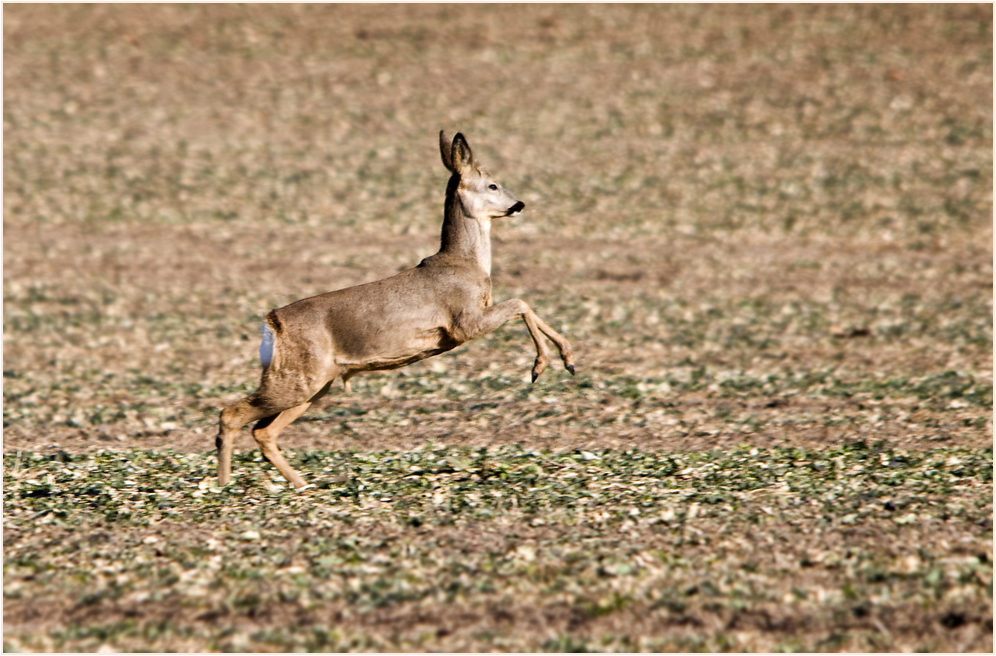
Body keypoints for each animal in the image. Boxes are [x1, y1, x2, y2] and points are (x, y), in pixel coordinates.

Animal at [218, 131, 576, 486]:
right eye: (492, 185)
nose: (519, 204)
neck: (466, 264)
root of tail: (271, 323)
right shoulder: (464, 321)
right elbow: (520, 303)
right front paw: (546, 363)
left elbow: (522, 304)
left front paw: (565, 360)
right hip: (297, 378)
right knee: (231, 414)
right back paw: (224, 485)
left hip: (315, 383)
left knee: (263, 431)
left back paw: (301, 485)